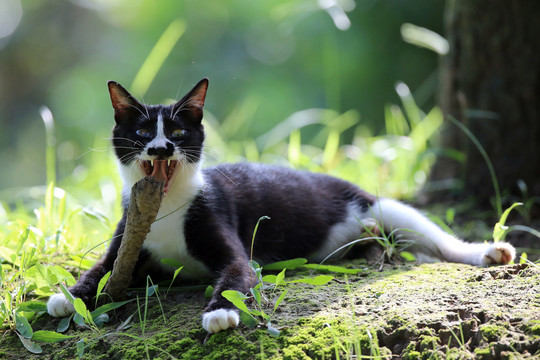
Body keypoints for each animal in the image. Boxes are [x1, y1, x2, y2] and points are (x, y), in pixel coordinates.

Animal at [48, 79, 516, 334]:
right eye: (143, 132)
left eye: (178, 132)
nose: (161, 148)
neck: (167, 210)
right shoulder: (128, 232)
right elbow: (100, 270)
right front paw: (67, 297)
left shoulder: (225, 232)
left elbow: (235, 274)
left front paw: (220, 314)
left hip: (378, 205)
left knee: (435, 235)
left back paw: (487, 252)